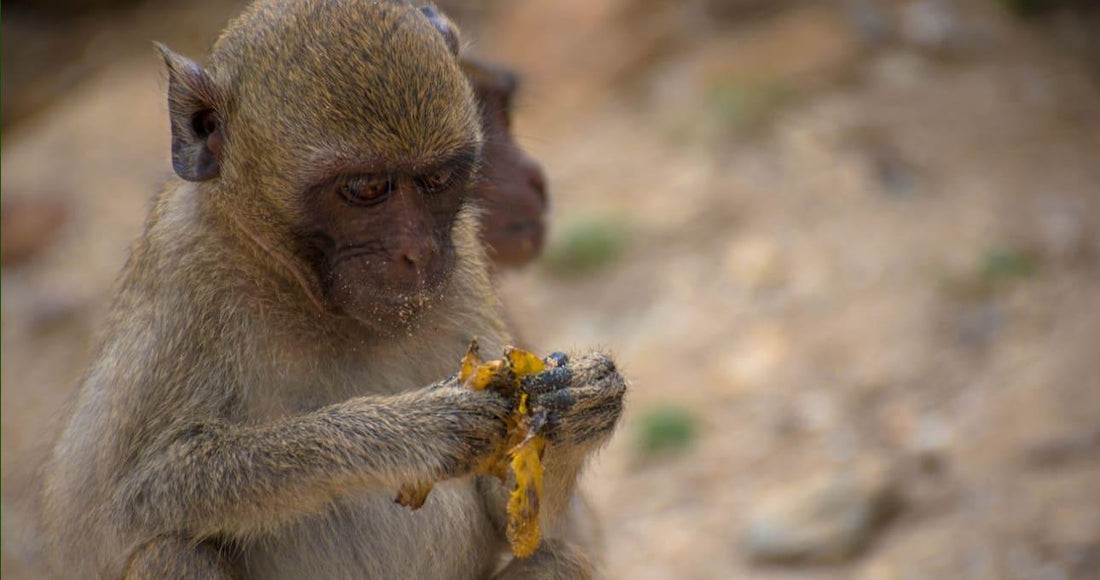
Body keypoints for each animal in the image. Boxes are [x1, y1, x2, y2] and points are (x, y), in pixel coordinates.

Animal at [40, 2, 629, 576]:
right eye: (366, 189)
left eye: (437, 180)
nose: (419, 253)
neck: (300, 289)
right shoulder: (183, 272)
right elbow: (122, 512)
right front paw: (412, 430)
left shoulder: (465, 262)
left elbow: (523, 521)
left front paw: (580, 404)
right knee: (168, 549)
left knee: (561, 558)